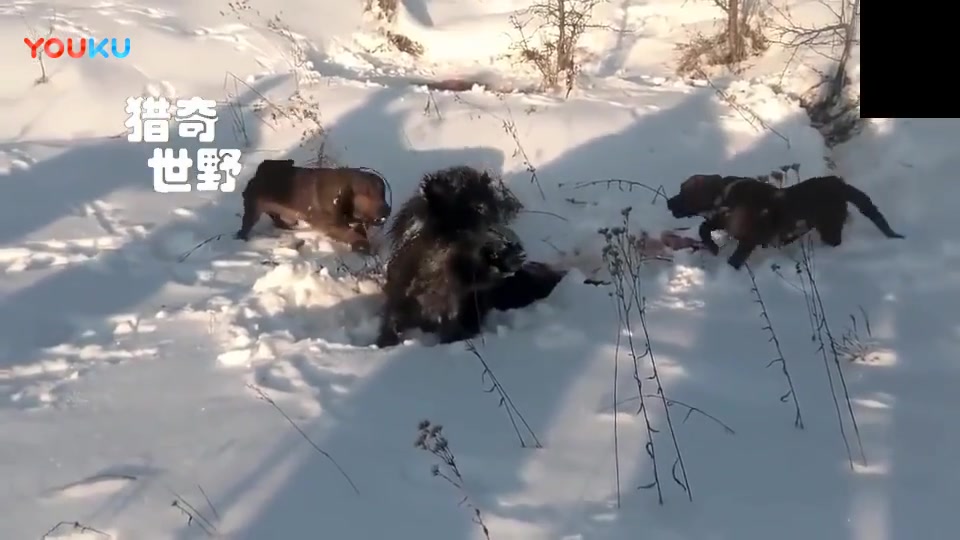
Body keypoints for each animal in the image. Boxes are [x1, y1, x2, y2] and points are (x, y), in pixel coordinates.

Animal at [236, 158, 390, 253]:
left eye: (383, 192)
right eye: (367, 193)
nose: (387, 210)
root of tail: (257, 175)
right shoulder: (331, 225)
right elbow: (353, 235)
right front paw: (363, 248)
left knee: (276, 218)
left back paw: (287, 226)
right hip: (253, 209)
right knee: (246, 225)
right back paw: (242, 238)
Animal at [664, 174, 904, 268]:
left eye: (682, 192)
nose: (668, 202)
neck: (725, 197)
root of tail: (838, 182)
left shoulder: (748, 239)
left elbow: (734, 260)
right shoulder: (723, 222)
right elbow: (704, 228)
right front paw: (712, 247)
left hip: (830, 227)